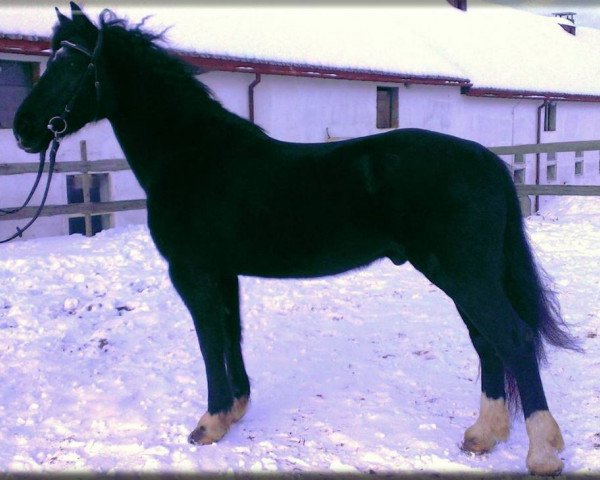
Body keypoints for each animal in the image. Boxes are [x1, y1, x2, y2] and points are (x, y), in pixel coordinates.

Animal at [12, 4, 576, 476]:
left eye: (69, 65)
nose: (21, 128)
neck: (193, 156)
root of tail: (488, 161)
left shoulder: (193, 271)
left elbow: (208, 339)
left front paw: (208, 424)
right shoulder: (223, 272)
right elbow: (230, 334)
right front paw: (235, 409)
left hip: (463, 274)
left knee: (513, 338)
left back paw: (542, 453)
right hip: (462, 277)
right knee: (487, 343)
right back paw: (485, 435)